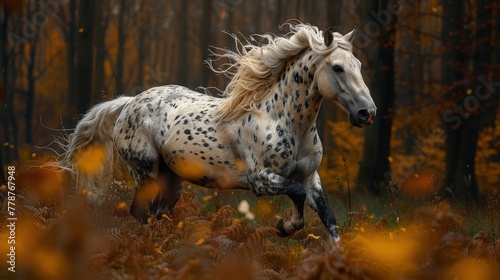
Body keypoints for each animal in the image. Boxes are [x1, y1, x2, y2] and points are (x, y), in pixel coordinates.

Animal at [61, 22, 376, 245]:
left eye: (359, 65)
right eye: (337, 67)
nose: (367, 112)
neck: (283, 119)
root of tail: (128, 103)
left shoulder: (311, 178)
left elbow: (329, 219)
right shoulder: (262, 180)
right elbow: (296, 200)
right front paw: (283, 227)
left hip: (170, 180)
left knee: (157, 214)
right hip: (145, 173)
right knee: (140, 214)